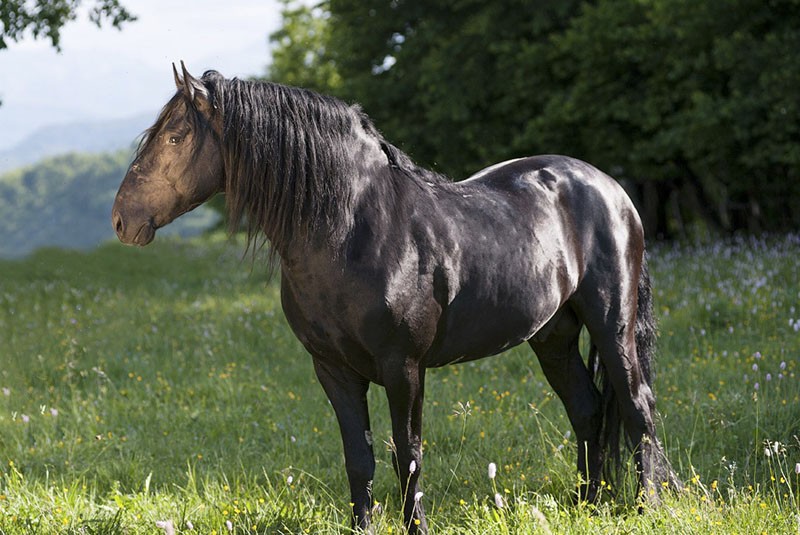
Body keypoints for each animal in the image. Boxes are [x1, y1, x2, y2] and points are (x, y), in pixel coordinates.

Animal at [111, 62, 676, 532]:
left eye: (177, 135)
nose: (122, 220)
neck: (353, 230)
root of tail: (611, 189)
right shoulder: (333, 370)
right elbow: (358, 458)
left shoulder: (403, 367)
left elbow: (408, 453)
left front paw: (416, 527)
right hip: (553, 334)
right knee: (587, 409)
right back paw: (591, 505)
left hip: (612, 324)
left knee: (636, 407)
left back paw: (646, 507)